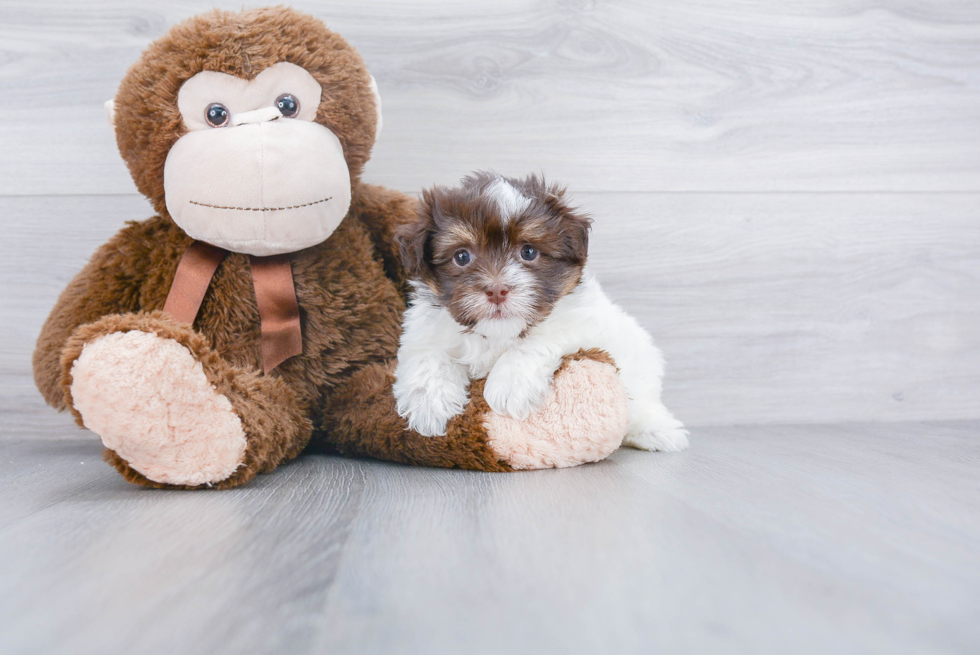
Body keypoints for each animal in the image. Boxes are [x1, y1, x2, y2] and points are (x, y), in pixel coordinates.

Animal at [392, 172, 688, 454]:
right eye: (462, 256)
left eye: (528, 252)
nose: (497, 290)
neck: (496, 335)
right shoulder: (422, 332)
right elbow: (427, 356)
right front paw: (429, 404)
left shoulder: (581, 321)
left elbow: (537, 340)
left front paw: (509, 385)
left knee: (643, 401)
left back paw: (658, 431)